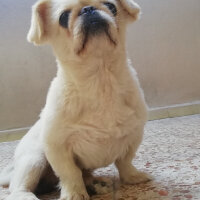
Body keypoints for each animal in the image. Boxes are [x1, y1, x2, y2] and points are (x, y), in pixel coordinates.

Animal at [0, 0, 152, 200]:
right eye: (63, 17)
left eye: (111, 6)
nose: (88, 9)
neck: (100, 81)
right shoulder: (58, 148)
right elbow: (70, 174)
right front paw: (74, 194)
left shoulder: (133, 137)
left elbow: (124, 162)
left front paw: (132, 177)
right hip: (34, 159)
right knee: (18, 187)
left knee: (85, 175)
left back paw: (97, 185)